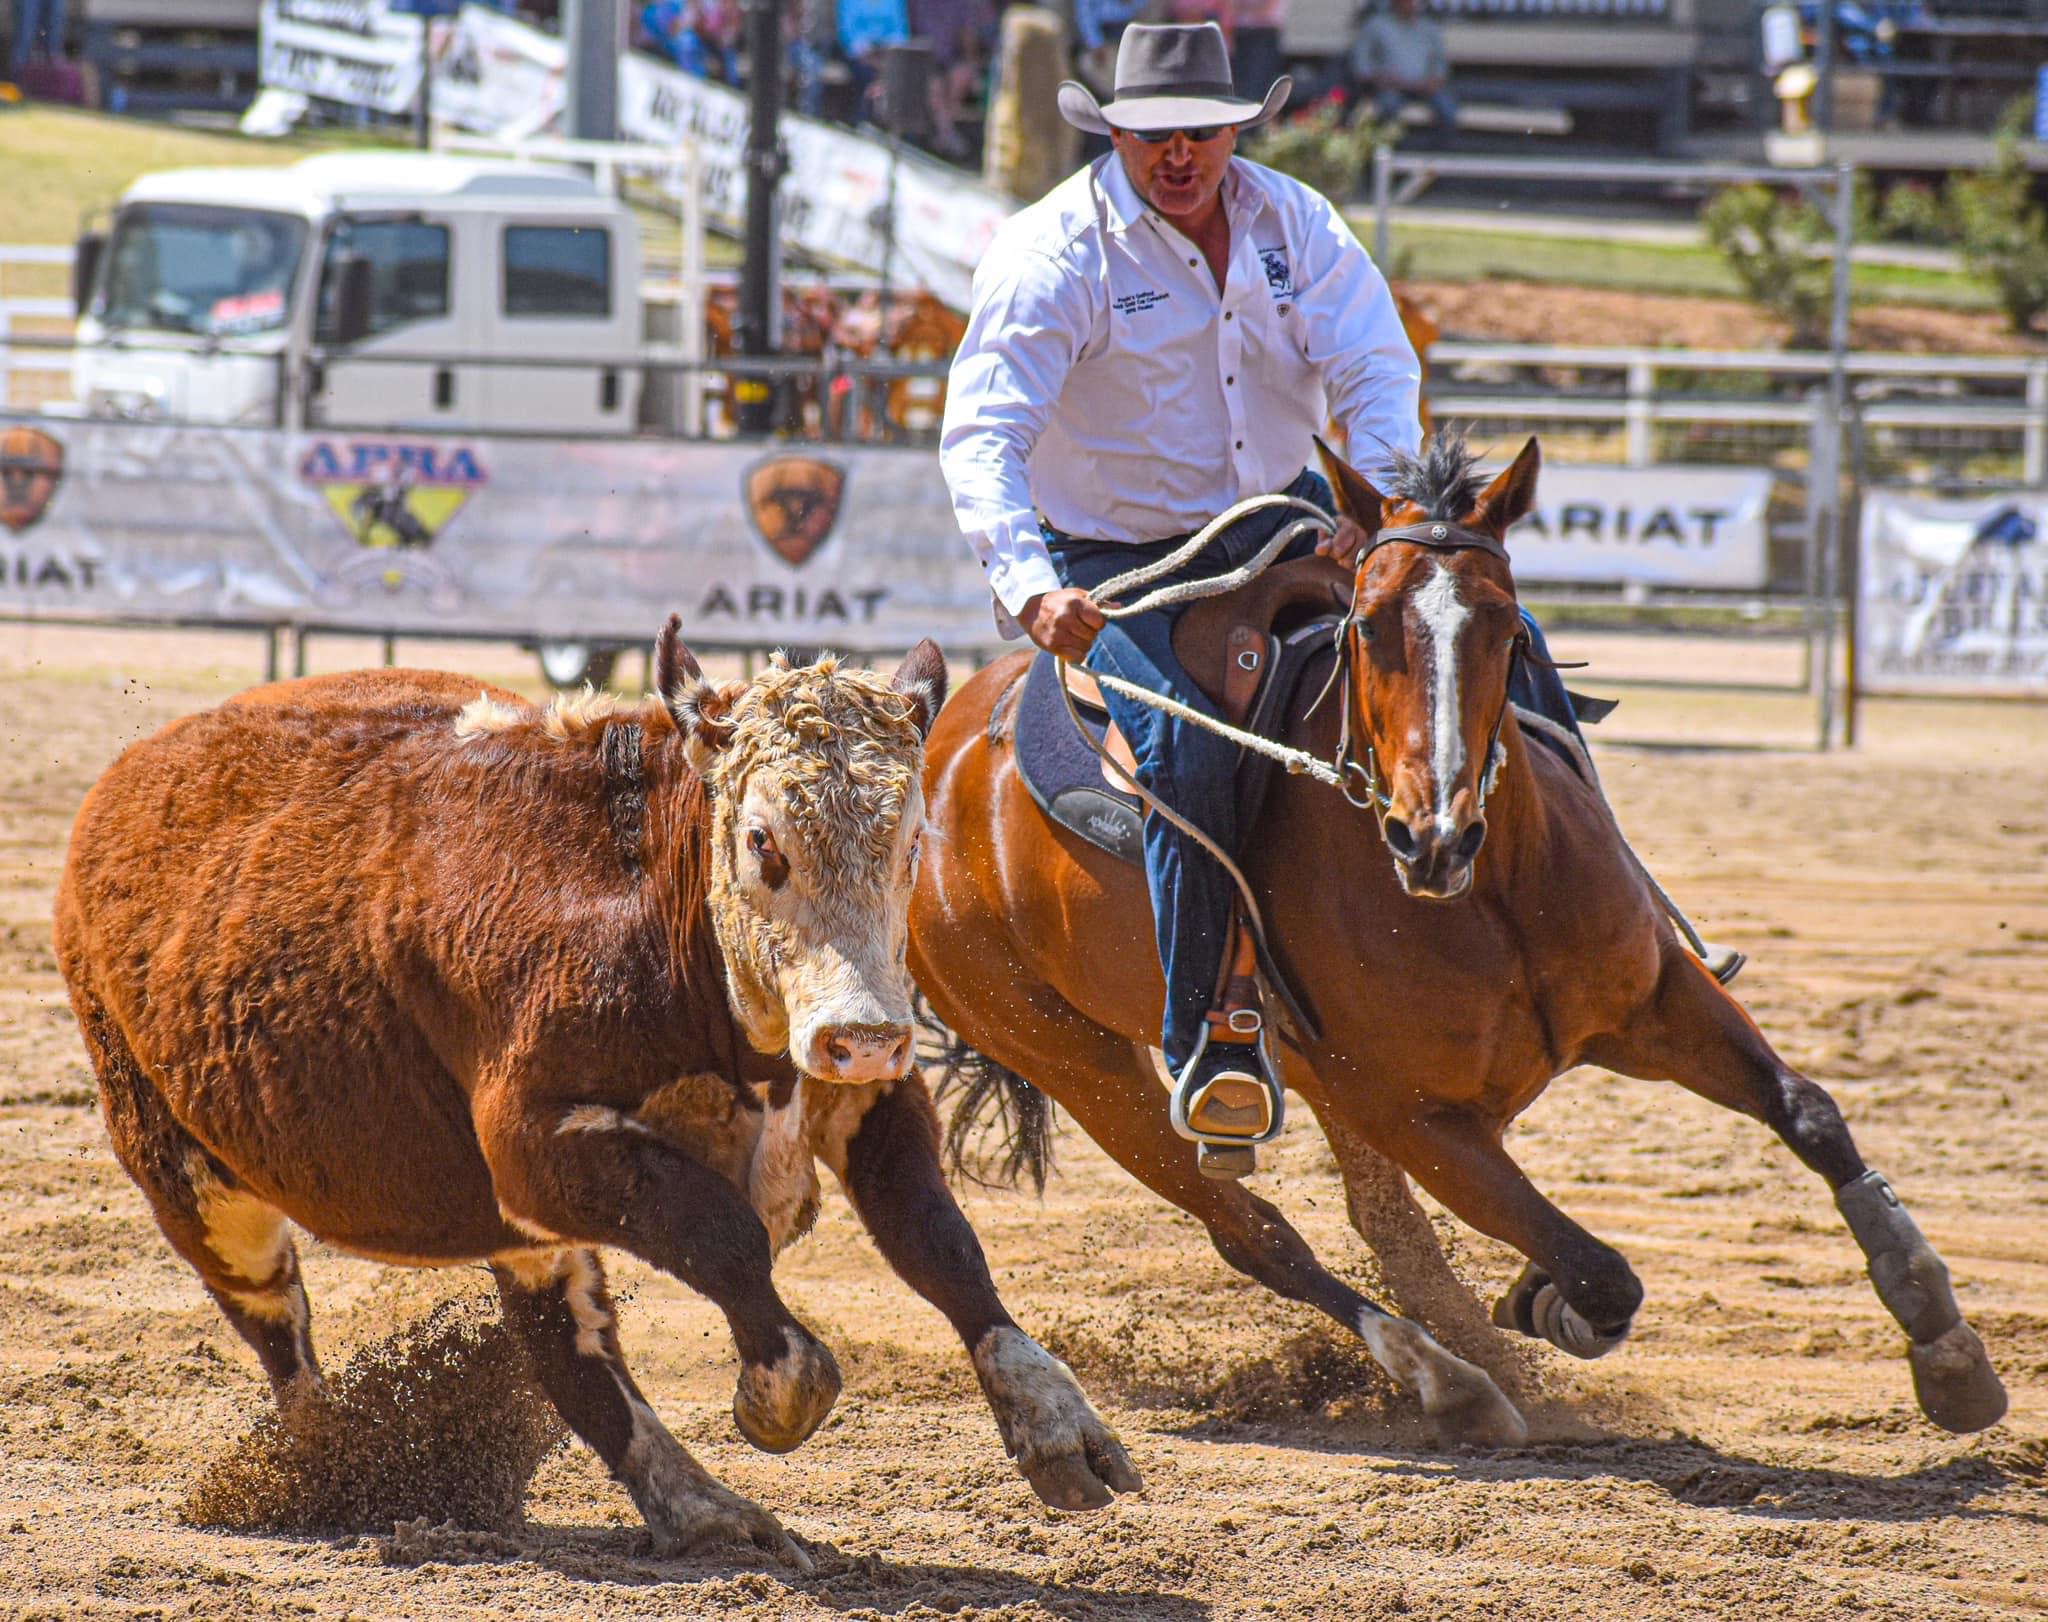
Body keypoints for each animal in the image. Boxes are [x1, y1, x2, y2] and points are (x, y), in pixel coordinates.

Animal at [52, 620, 1140, 1567]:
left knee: (568, 1350)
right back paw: (332, 1468)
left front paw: (1056, 1420)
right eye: (762, 841)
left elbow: (938, 1242)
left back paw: (703, 1509)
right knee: (283, 1331)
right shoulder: (536, 1143)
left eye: (913, 840)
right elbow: (724, 1237)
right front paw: (776, 1387)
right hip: (189, 1179)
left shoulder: (867, 1101)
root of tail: (123, 785)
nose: (863, 1032)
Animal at [909, 433, 2008, 1446]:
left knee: (1379, 1226)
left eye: (1504, 624)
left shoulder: (1657, 999)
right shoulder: (1420, 1116)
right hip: (1082, 1067)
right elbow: (1599, 1272)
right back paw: (1449, 1379)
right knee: (1258, 1237)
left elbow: (1807, 1111)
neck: (1488, 896)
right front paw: (1542, 1297)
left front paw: (1942, 1339)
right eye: (1364, 625)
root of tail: (934, 743)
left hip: (1306, 1083)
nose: (1426, 833)